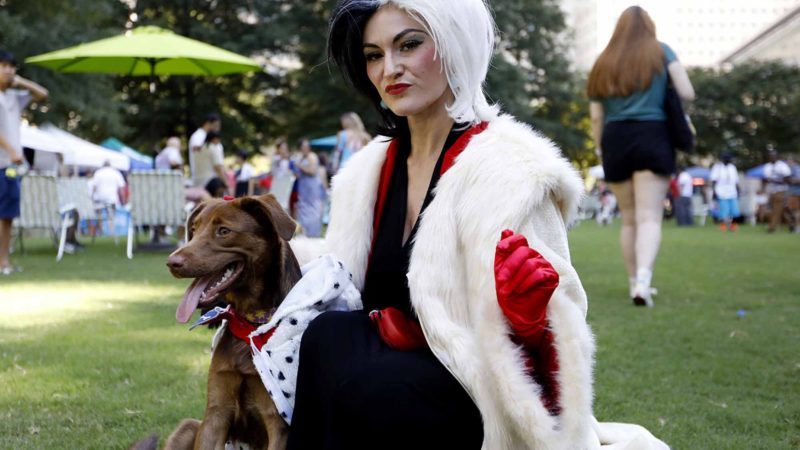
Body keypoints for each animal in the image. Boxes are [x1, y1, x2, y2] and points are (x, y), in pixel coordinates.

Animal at [159, 195, 300, 450]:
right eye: (194, 230)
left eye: (223, 231)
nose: (171, 262)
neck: (249, 323)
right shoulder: (216, 413)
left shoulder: (277, 422)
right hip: (188, 427)